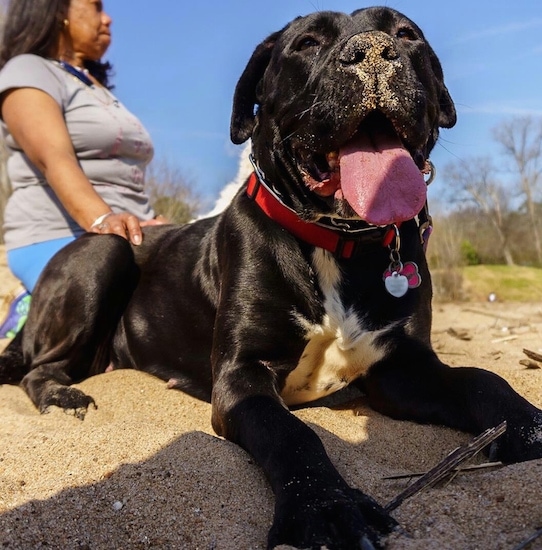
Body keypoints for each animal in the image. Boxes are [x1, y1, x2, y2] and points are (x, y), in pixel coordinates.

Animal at [1, 5, 542, 550]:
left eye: (406, 33)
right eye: (306, 43)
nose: (372, 50)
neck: (340, 242)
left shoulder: (402, 369)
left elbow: (482, 379)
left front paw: (530, 427)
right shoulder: (243, 375)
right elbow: (294, 435)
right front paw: (327, 507)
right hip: (105, 251)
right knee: (36, 369)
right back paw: (63, 397)